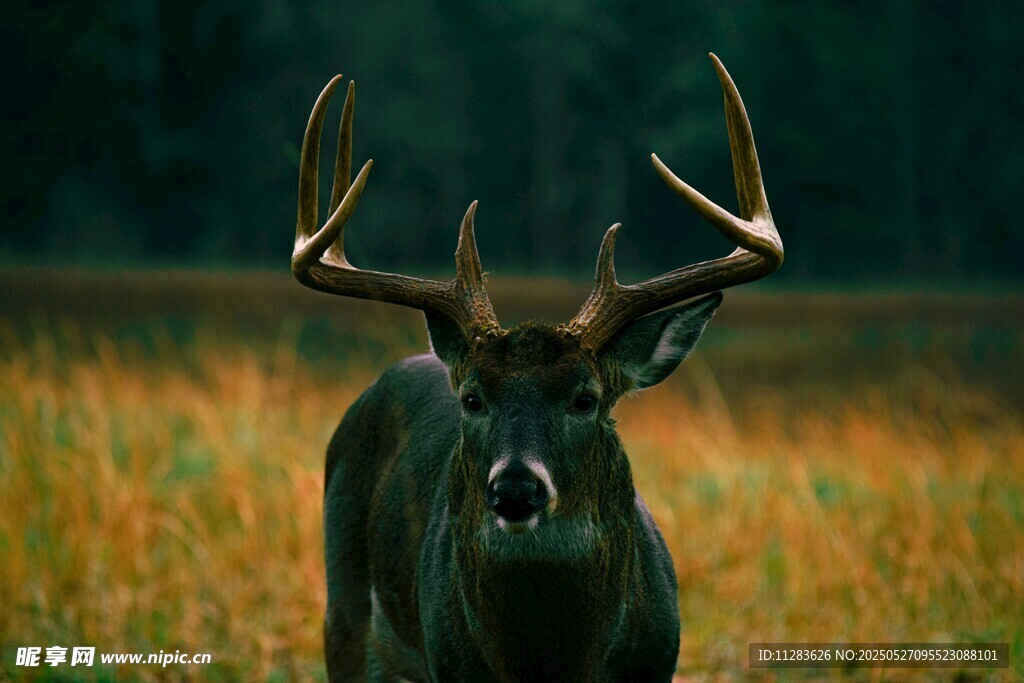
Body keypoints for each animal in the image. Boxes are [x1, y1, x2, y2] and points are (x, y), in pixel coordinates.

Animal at [291, 54, 782, 682]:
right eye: (473, 397)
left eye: (585, 397)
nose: (516, 487)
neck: (552, 658)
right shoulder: (451, 661)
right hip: (344, 617)